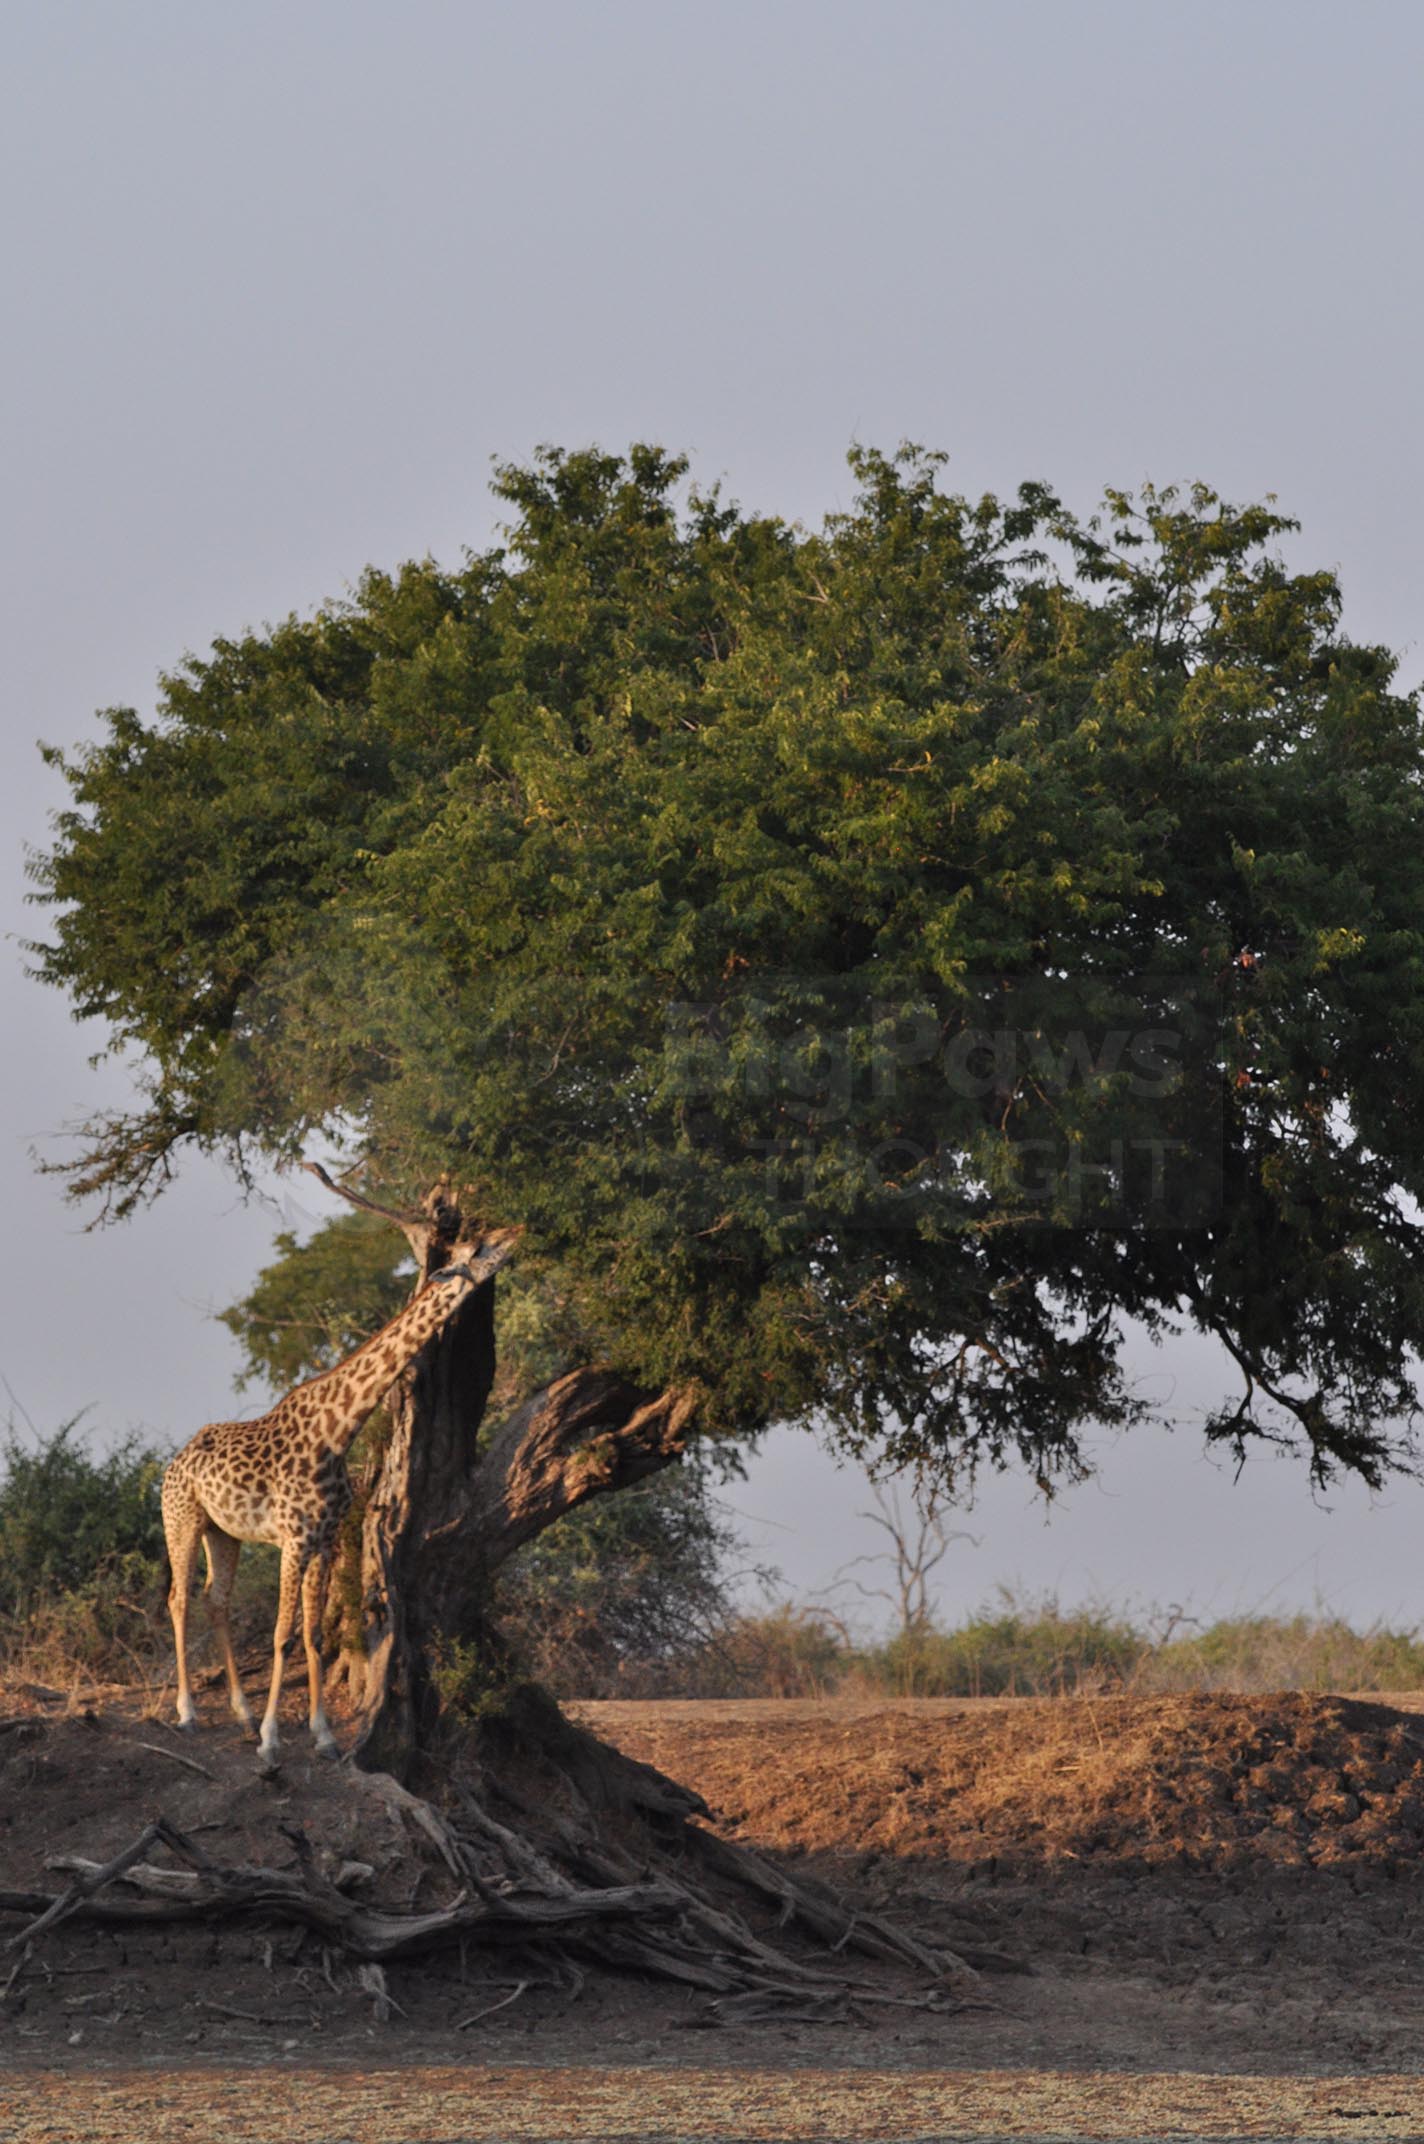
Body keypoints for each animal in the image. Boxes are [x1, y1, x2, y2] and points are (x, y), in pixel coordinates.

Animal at [162, 1226, 516, 1758]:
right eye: (478, 1249)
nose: (515, 1234)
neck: (338, 1431)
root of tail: (172, 1464)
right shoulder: (294, 1540)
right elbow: (282, 1635)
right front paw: (271, 1740)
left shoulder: (324, 1542)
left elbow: (310, 1633)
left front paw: (323, 1735)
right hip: (180, 1519)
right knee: (179, 1598)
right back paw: (188, 1714)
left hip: (223, 1532)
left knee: (215, 1599)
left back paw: (242, 1713)